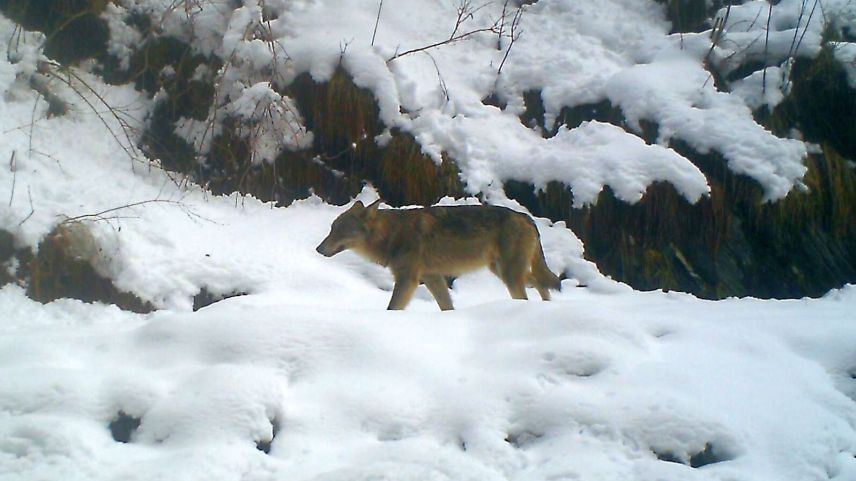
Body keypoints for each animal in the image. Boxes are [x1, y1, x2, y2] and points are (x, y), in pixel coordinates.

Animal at [316, 200, 562, 310]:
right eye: (331, 228)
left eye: (339, 230)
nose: (318, 249)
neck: (393, 234)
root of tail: (526, 217)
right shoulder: (433, 278)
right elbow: (447, 306)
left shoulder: (408, 279)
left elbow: (392, 308)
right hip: (503, 272)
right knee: (542, 281)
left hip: (509, 275)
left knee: (535, 287)